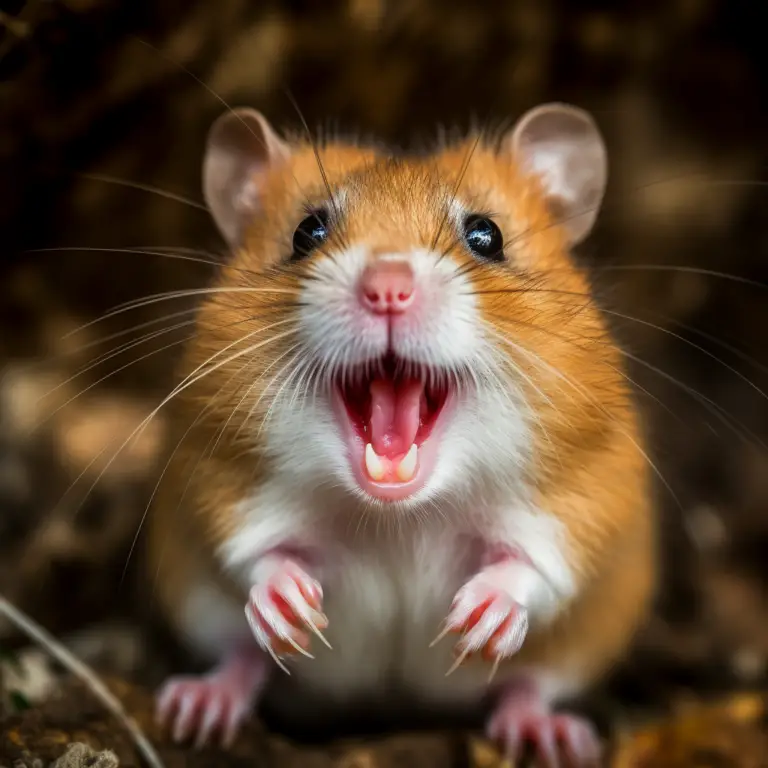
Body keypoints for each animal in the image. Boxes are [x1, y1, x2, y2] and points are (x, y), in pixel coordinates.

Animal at [146, 102, 655, 766]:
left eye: (486, 236)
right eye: (306, 232)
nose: (387, 288)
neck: (398, 515)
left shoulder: (585, 496)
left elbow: (535, 566)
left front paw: (480, 617)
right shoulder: (217, 478)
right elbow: (256, 552)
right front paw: (287, 605)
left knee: (528, 686)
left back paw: (545, 732)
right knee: (242, 658)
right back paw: (200, 706)